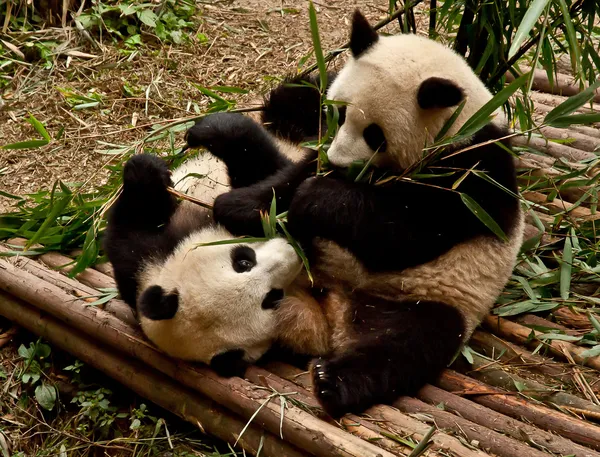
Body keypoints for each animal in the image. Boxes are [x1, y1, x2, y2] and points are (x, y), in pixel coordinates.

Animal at [184, 9, 524, 416]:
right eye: (339, 112)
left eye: (375, 135)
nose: (339, 162)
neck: (458, 124)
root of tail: (337, 311)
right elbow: (289, 180)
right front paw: (240, 206)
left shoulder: (472, 175)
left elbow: (405, 234)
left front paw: (318, 198)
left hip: (432, 300)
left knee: (405, 346)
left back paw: (334, 382)